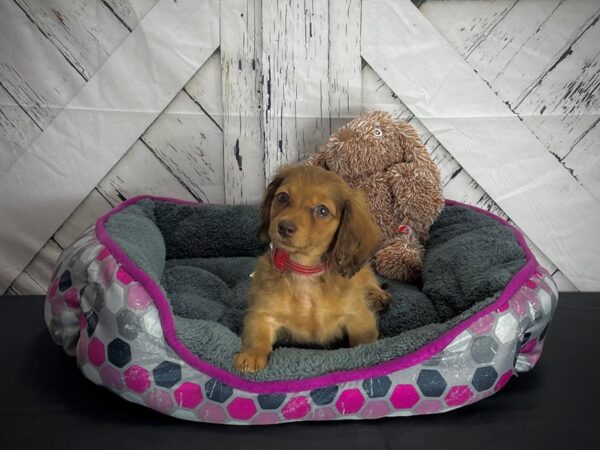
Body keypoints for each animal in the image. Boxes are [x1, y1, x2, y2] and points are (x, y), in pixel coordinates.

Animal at [234, 165, 394, 372]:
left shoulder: (358, 317)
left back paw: (377, 295)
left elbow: (363, 341)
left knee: (368, 278)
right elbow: (256, 334)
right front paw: (252, 355)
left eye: (322, 210)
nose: (284, 227)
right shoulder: (262, 313)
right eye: (282, 197)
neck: (304, 271)